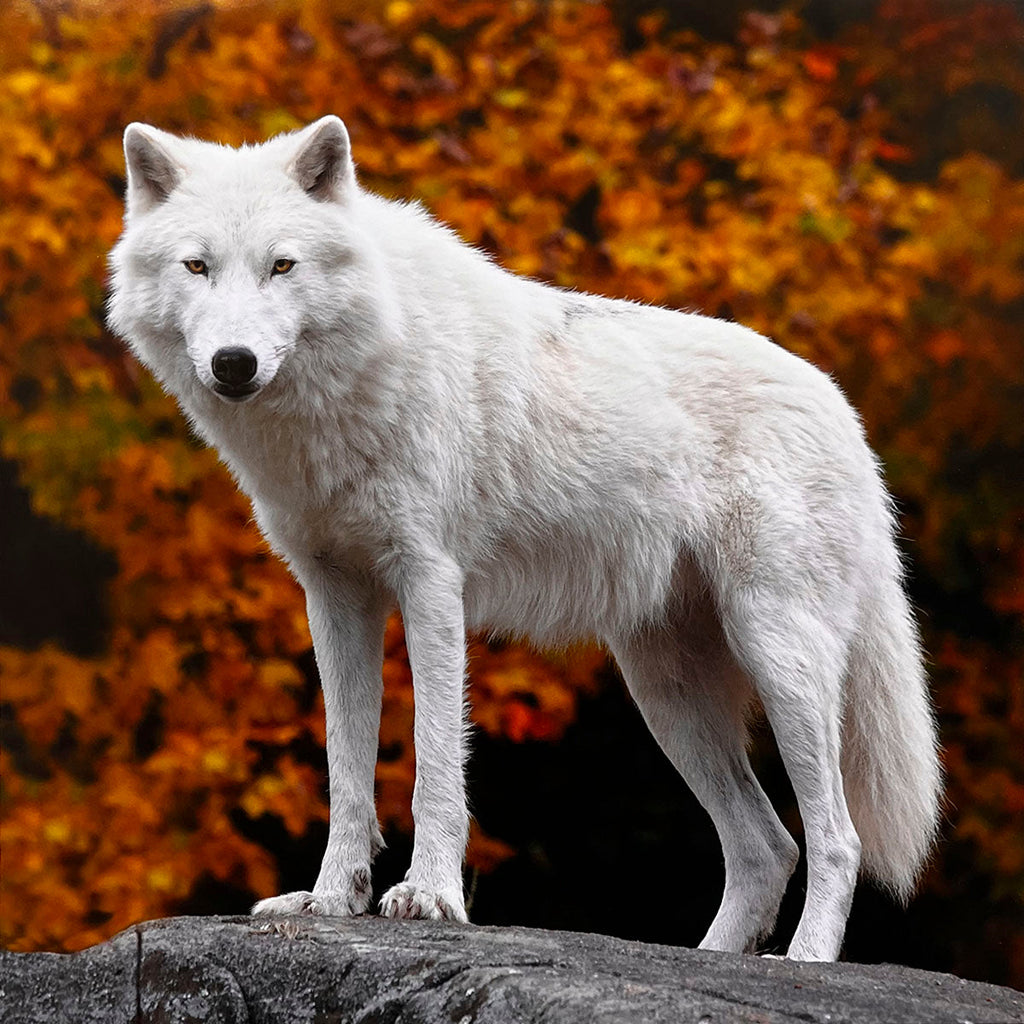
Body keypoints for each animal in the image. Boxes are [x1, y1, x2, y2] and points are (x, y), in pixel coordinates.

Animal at [107, 115, 941, 961]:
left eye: (282, 265)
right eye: (198, 266)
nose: (233, 363)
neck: (361, 373)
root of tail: (845, 412)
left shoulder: (431, 583)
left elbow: (435, 761)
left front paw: (430, 897)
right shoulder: (335, 598)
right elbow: (346, 772)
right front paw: (332, 899)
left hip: (778, 655)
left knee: (836, 839)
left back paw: (803, 964)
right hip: (668, 693)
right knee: (768, 846)